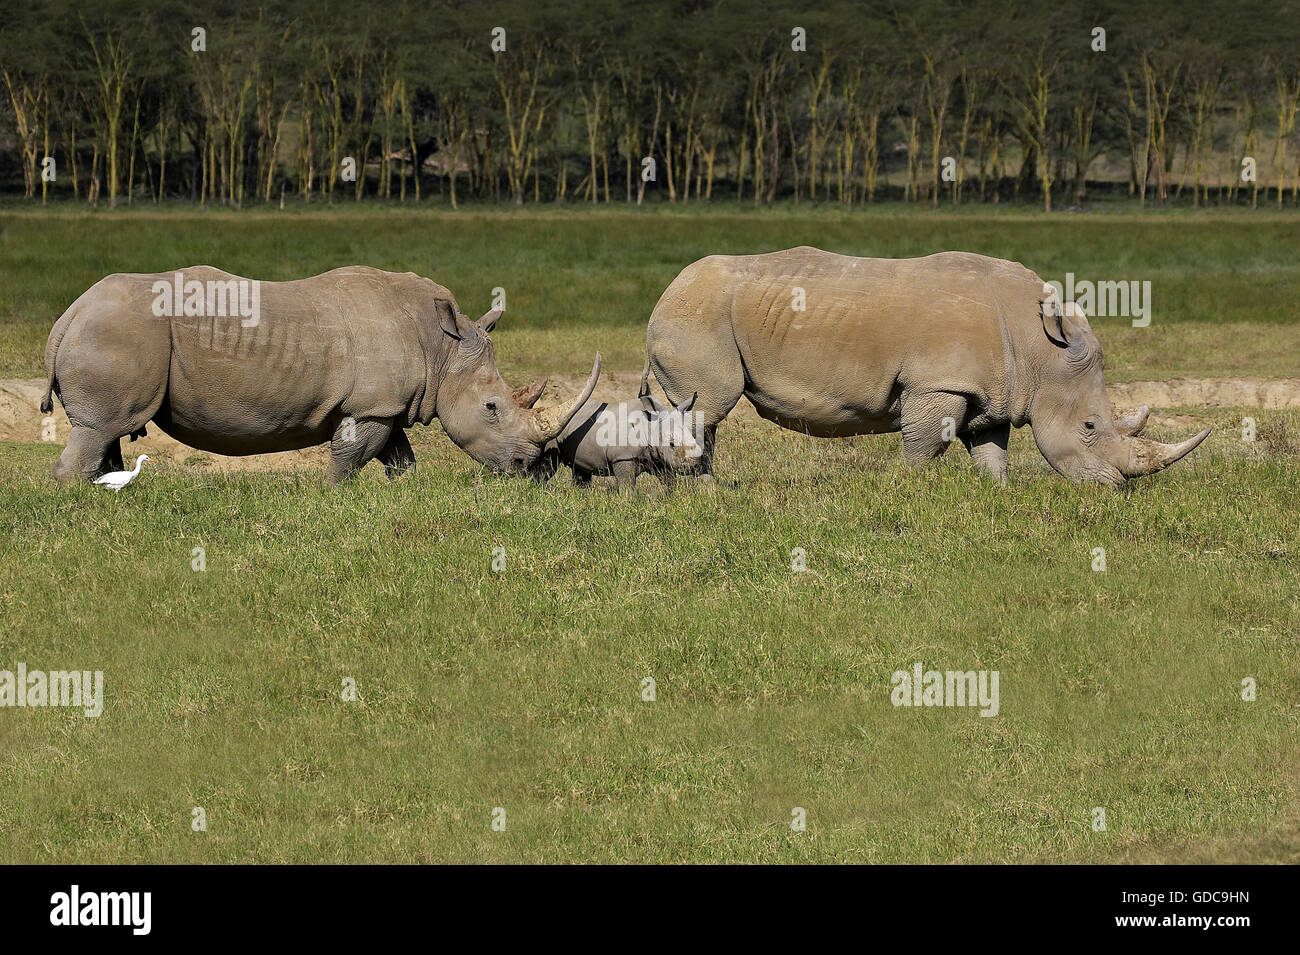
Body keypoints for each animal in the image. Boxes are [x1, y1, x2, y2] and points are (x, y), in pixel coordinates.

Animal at [530, 389, 702, 493]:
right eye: (672, 444)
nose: (693, 464)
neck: (650, 425)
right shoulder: (622, 457)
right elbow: (627, 486)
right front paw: (629, 505)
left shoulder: (658, 458)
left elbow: (669, 481)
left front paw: (670, 498)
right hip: (551, 432)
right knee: (549, 466)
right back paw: (538, 491)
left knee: (580, 470)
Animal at [644, 248, 1211, 485]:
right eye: (1090, 427)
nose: (1116, 486)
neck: (1039, 350)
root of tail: (665, 292)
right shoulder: (939, 382)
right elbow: (926, 444)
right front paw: (906, 487)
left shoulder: (994, 391)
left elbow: (991, 450)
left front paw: (997, 494)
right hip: (698, 315)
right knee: (709, 405)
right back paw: (705, 492)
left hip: (697, 312)